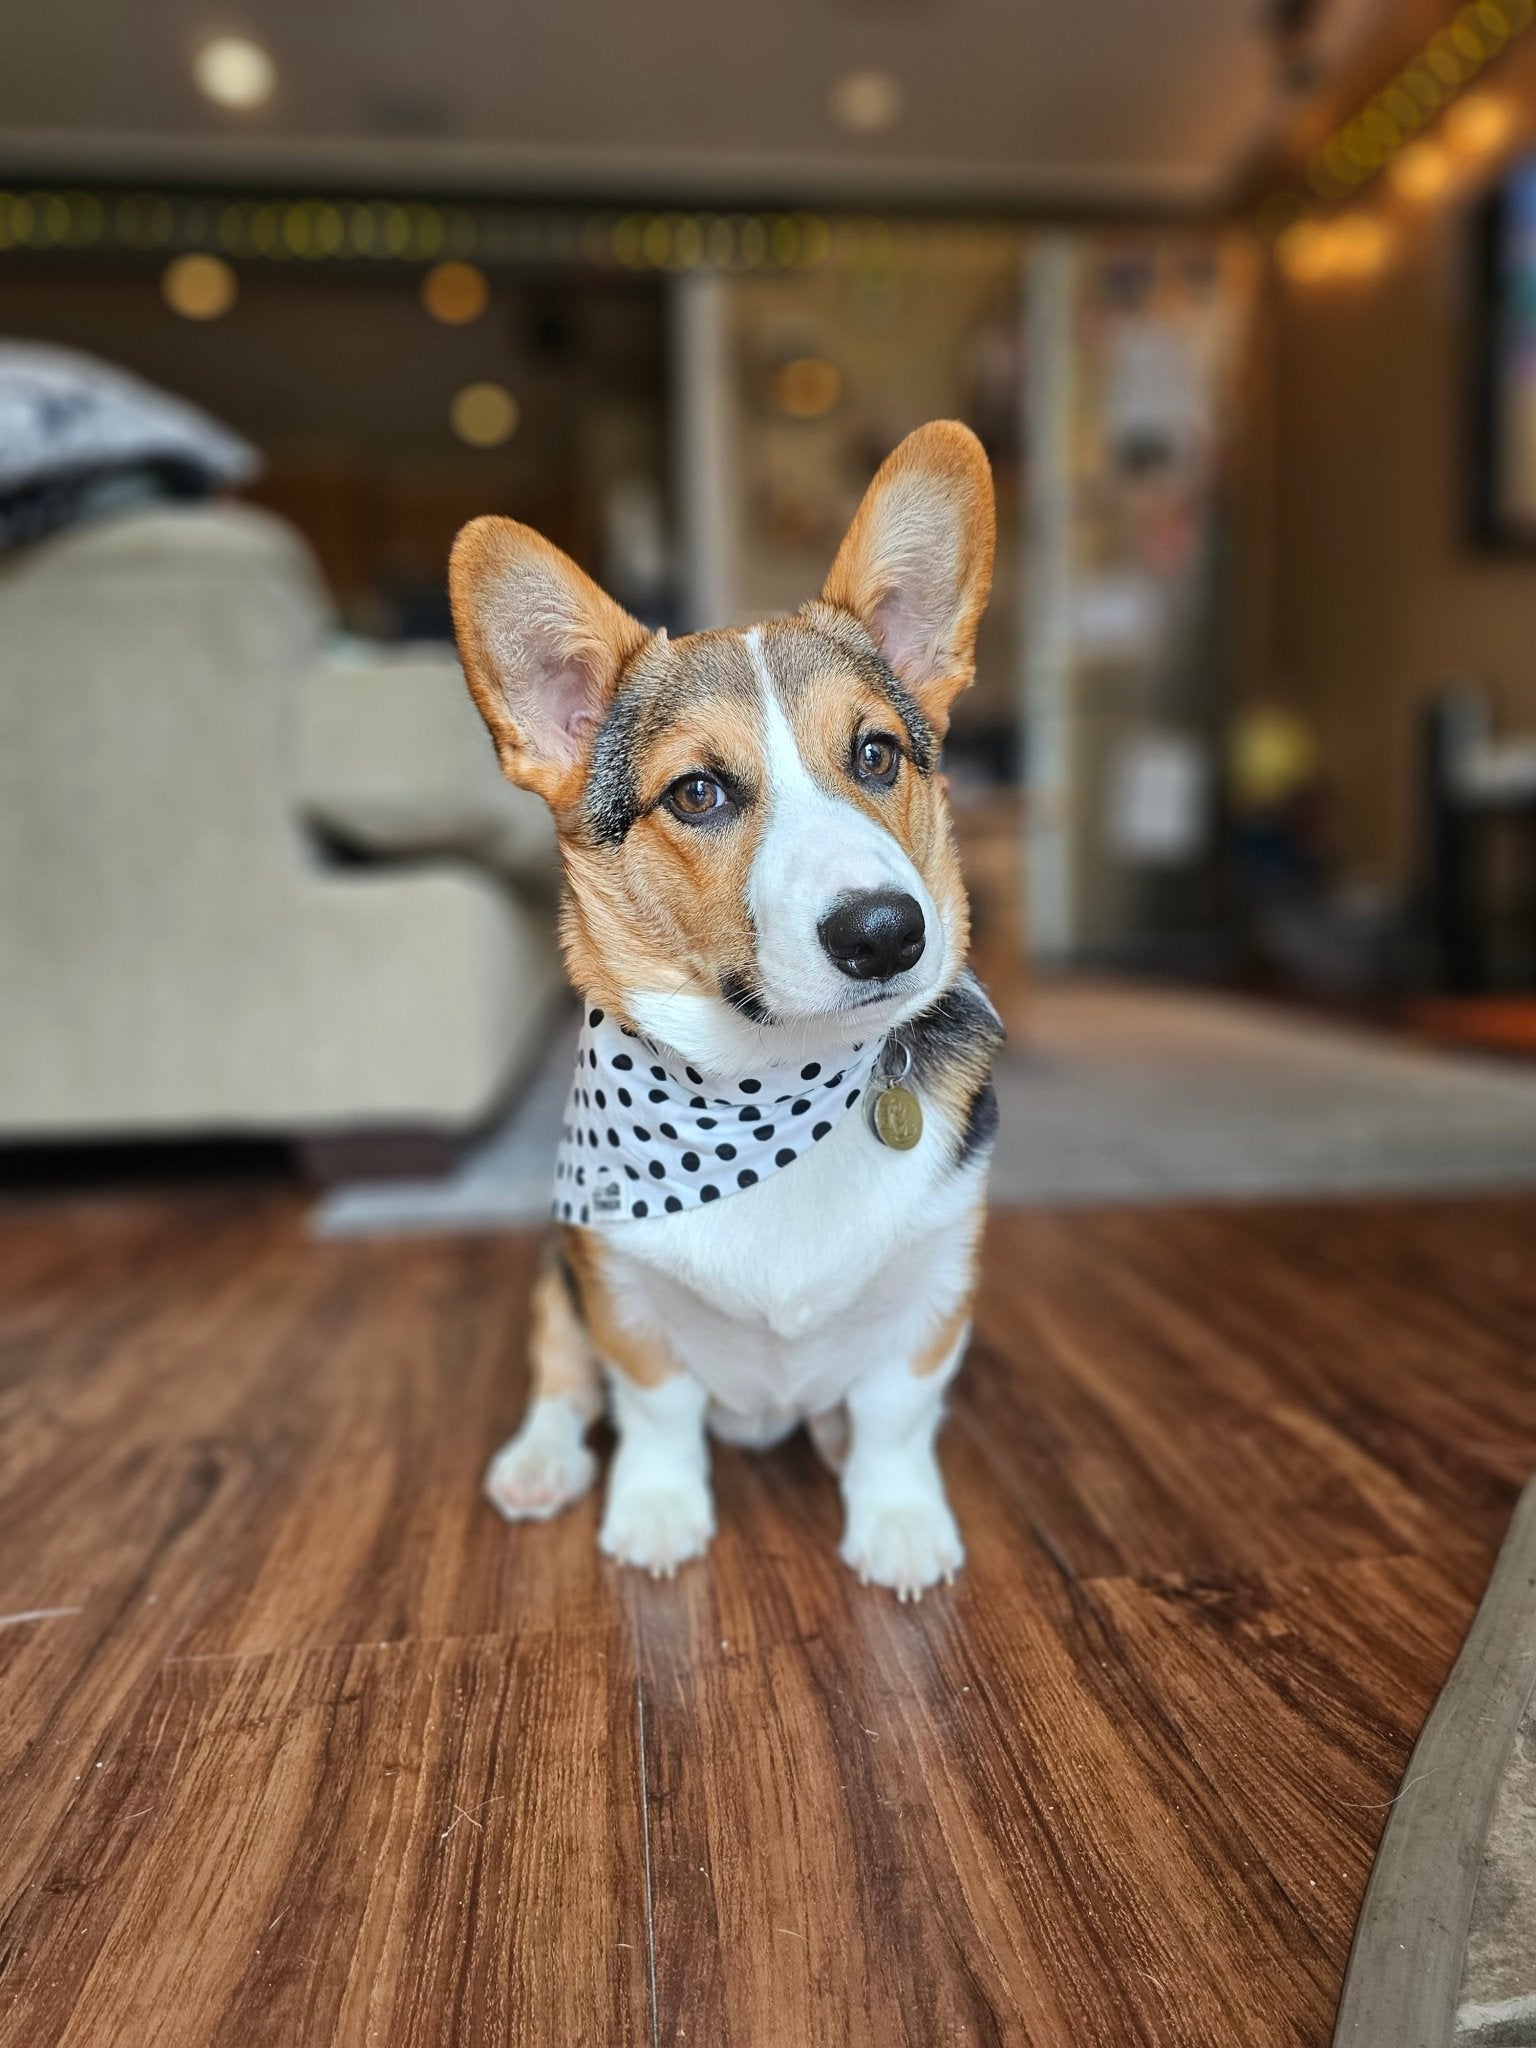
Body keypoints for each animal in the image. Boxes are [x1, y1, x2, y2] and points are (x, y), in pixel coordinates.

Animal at [450, 419, 1003, 1597]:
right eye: (698, 792)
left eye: (878, 752)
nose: (887, 930)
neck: (776, 1081)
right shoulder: (617, 1290)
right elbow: (656, 1410)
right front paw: (657, 1513)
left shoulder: (935, 1289)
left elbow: (897, 1418)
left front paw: (898, 1521)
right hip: (553, 1278)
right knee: (560, 1382)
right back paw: (538, 1463)